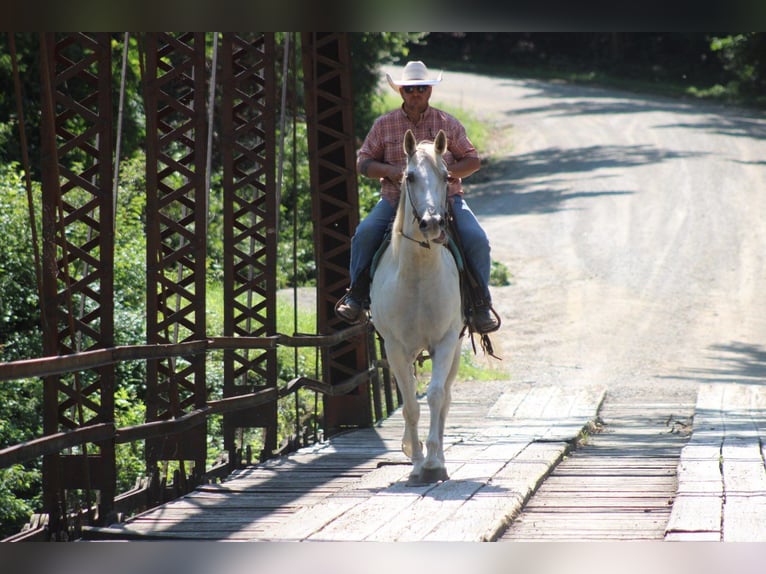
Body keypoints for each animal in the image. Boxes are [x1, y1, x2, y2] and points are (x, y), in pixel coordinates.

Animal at [370, 129, 464, 486]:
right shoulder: (395, 347)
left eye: (446, 175)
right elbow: (410, 404)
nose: (432, 223)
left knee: (445, 397)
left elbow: (435, 396)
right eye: (409, 176)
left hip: (456, 349)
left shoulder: (445, 341)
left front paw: (434, 463)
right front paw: (416, 461)